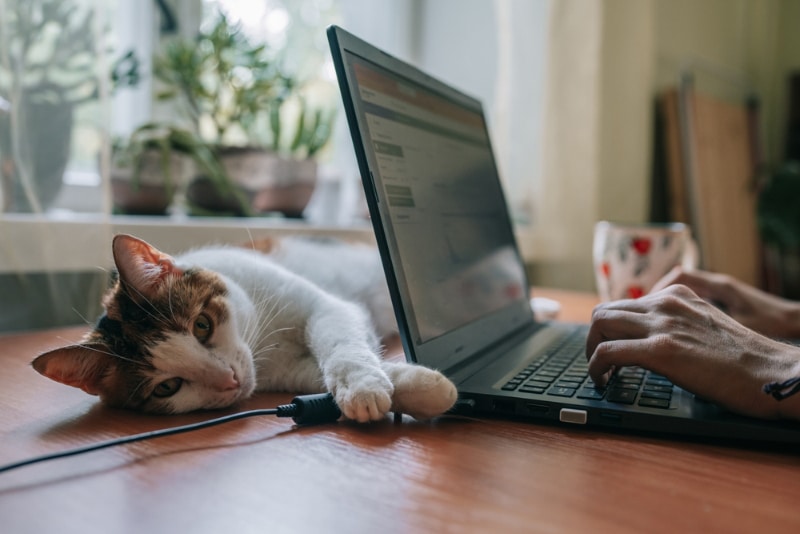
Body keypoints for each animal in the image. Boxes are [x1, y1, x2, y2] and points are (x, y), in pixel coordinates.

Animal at [32, 234, 456, 422]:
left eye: (202, 325)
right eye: (167, 387)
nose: (230, 380)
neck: (263, 338)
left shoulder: (327, 307)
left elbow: (340, 345)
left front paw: (361, 384)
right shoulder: (285, 373)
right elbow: (327, 372)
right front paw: (422, 389)